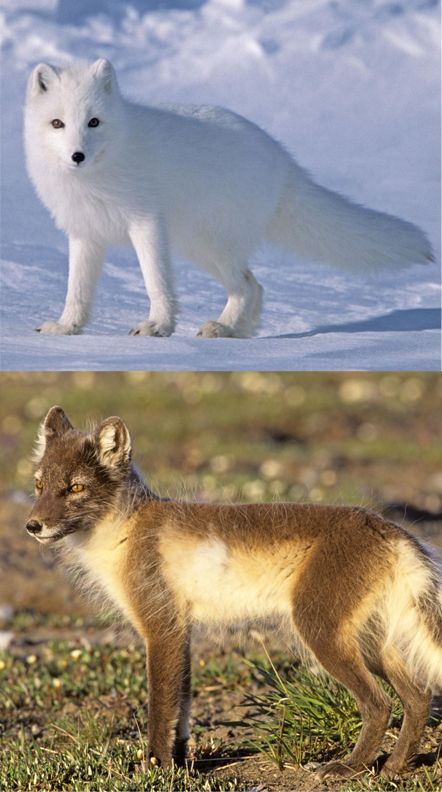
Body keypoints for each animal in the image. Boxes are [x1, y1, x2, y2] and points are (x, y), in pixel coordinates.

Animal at [23, 58, 432, 338]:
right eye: (58, 123)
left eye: (94, 122)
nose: (77, 155)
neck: (98, 175)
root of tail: (284, 160)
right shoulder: (85, 233)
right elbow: (77, 290)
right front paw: (67, 328)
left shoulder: (146, 223)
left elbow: (156, 282)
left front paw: (158, 327)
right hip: (199, 247)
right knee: (255, 286)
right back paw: (237, 331)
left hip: (210, 243)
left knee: (248, 285)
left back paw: (224, 328)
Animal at [26, 408, 442, 780]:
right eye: (39, 486)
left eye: (76, 488)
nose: (32, 525)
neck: (124, 530)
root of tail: (391, 529)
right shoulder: (181, 631)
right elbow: (182, 707)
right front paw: (182, 764)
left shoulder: (161, 628)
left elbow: (161, 707)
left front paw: (156, 767)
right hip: (372, 643)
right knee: (418, 698)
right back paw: (394, 767)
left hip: (322, 632)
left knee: (380, 704)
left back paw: (350, 768)